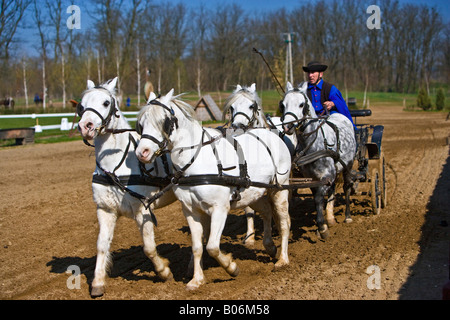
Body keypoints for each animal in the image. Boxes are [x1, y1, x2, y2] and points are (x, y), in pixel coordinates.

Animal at [77, 77, 176, 298]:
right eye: (82, 104)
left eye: (106, 102)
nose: (86, 126)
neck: (116, 165)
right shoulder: (105, 210)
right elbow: (102, 245)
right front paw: (98, 282)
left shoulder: (142, 210)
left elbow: (148, 247)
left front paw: (164, 271)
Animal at [135, 89, 294, 292]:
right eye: (141, 124)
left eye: (164, 121)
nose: (142, 153)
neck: (196, 161)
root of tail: (272, 134)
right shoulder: (191, 211)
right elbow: (197, 247)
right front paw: (196, 280)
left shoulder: (219, 208)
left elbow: (212, 246)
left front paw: (231, 267)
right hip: (253, 193)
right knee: (266, 211)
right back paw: (270, 247)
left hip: (279, 188)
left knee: (283, 222)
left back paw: (283, 259)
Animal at [282, 81, 356, 239]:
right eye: (283, 104)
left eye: (301, 104)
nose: (287, 126)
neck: (312, 143)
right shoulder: (312, 177)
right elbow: (318, 198)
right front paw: (323, 223)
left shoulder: (327, 175)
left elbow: (317, 198)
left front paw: (322, 228)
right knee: (332, 189)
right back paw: (330, 217)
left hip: (348, 165)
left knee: (347, 187)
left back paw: (347, 216)